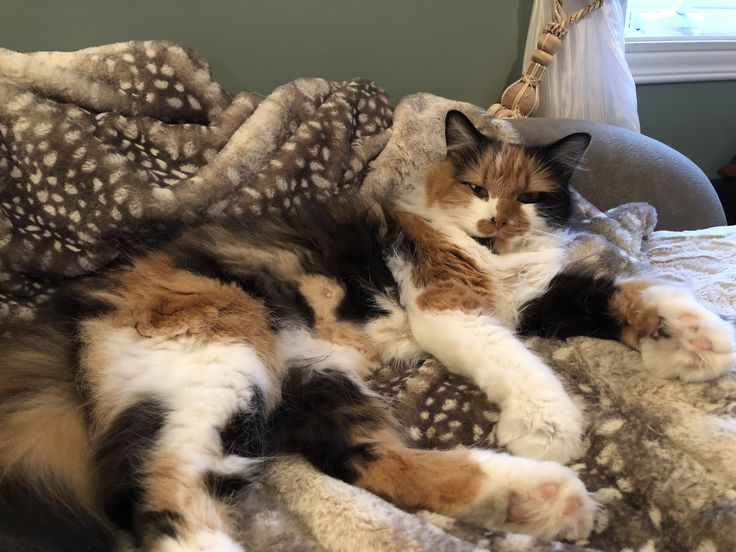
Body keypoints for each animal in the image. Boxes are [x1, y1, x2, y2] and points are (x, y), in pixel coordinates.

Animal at [0, 110, 732, 548]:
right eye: (476, 188)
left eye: (529, 196)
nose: (494, 224)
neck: (493, 261)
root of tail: (83, 298)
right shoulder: (447, 304)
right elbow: (519, 361)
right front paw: (549, 423)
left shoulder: (537, 297)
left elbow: (627, 291)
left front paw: (698, 341)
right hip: (220, 357)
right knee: (165, 496)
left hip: (307, 378)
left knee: (363, 460)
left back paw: (535, 500)